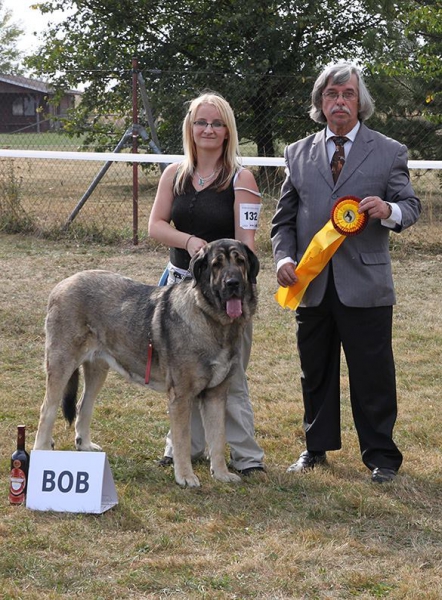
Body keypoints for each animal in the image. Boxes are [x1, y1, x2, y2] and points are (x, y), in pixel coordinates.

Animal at [33, 239, 258, 488]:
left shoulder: (215, 395)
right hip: (61, 364)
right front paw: (185, 476)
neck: (213, 320)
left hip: (97, 368)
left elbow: (218, 438)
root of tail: (61, 285)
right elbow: (182, 440)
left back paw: (85, 445)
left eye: (240, 261)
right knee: (47, 409)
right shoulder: (181, 397)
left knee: (84, 405)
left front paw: (220, 474)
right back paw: (42, 451)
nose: (233, 283)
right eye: (216, 264)